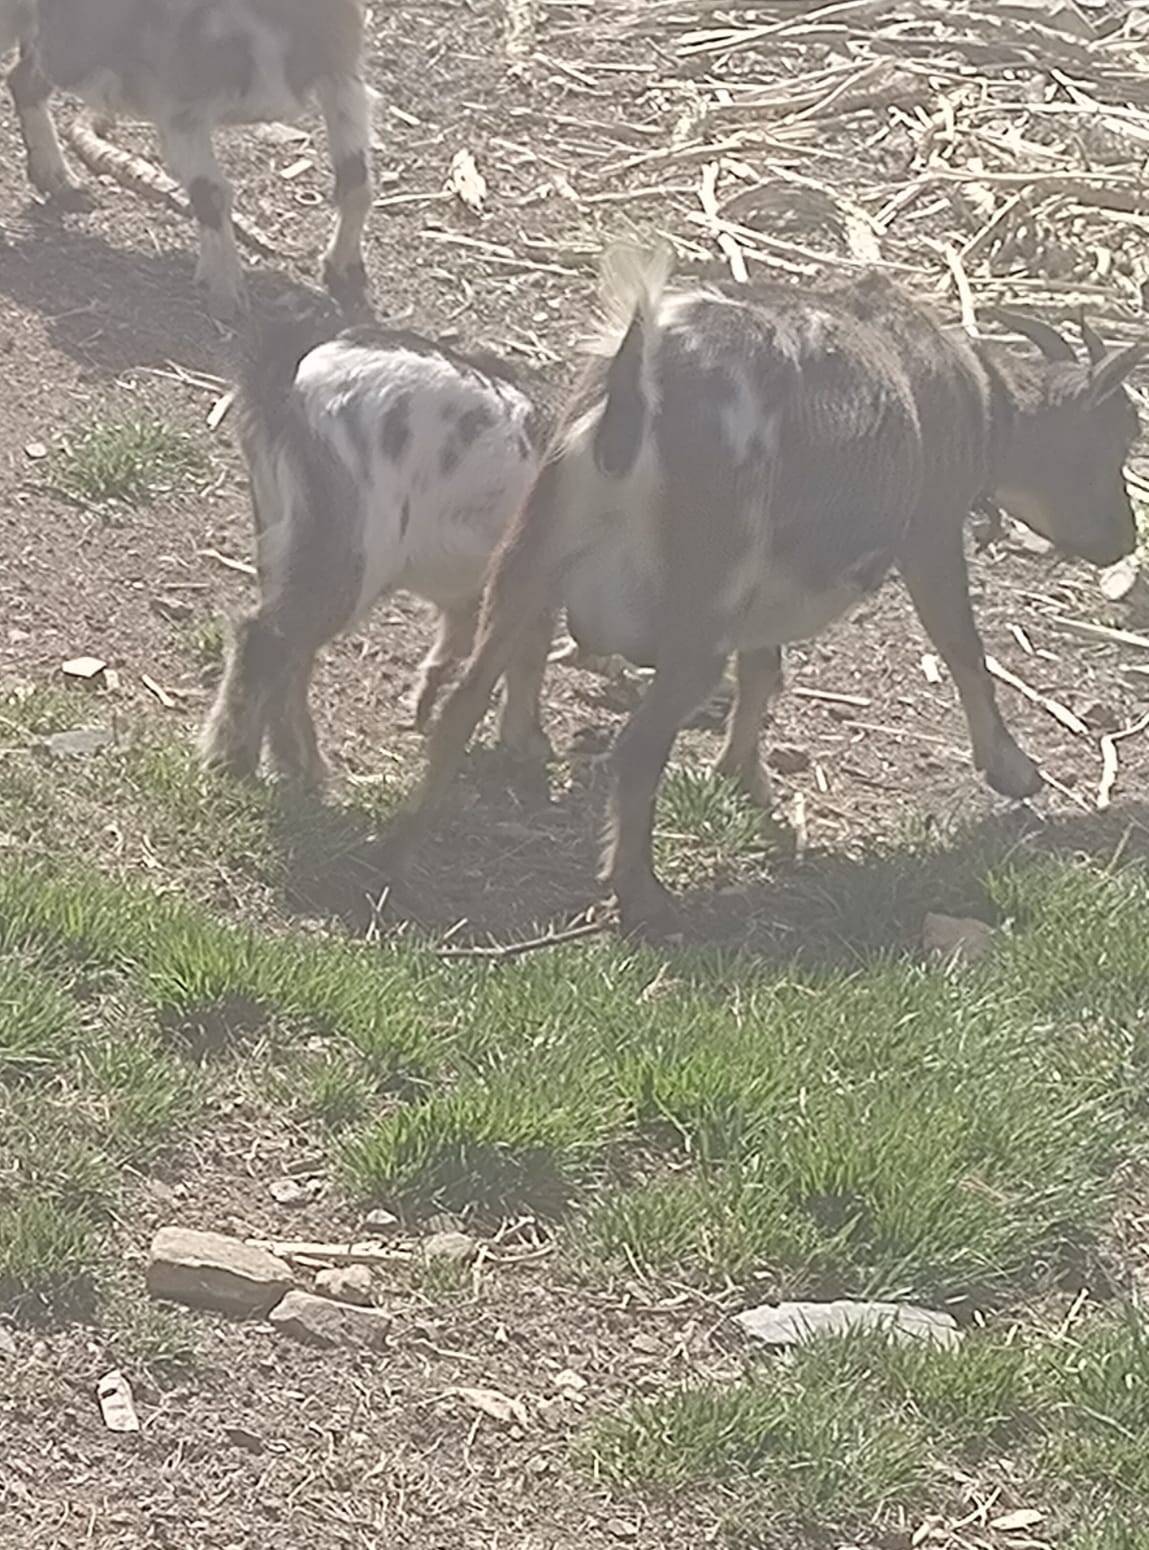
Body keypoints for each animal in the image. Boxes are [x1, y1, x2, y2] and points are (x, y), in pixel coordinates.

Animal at [0, 0, 373, 318]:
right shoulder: (179, 105)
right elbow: (211, 192)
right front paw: (224, 291)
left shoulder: (342, 75)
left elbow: (356, 183)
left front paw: (346, 276)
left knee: (23, 80)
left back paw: (60, 183)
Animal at [200, 320, 552, 784]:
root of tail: (287, 390)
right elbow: (526, 651)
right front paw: (525, 741)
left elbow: (461, 638)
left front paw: (423, 708)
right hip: (352, 549)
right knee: (265, 639)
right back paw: (232, 762)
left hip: (285, 533)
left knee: (291, 656)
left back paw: (300, 766)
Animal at [409, 248, 1145, 933]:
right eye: (1109, 443)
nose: (1123, 540)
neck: (972, 395)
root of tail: (634, 395)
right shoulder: (929, 532)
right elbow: (963, 649)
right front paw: (1014, 771)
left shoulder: (762, 585)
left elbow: (764, 666)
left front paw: (744, 777)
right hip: (701, 592)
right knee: (637, 748)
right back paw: (643, 897)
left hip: (533, 554)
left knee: (464, 700)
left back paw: (421, 836)